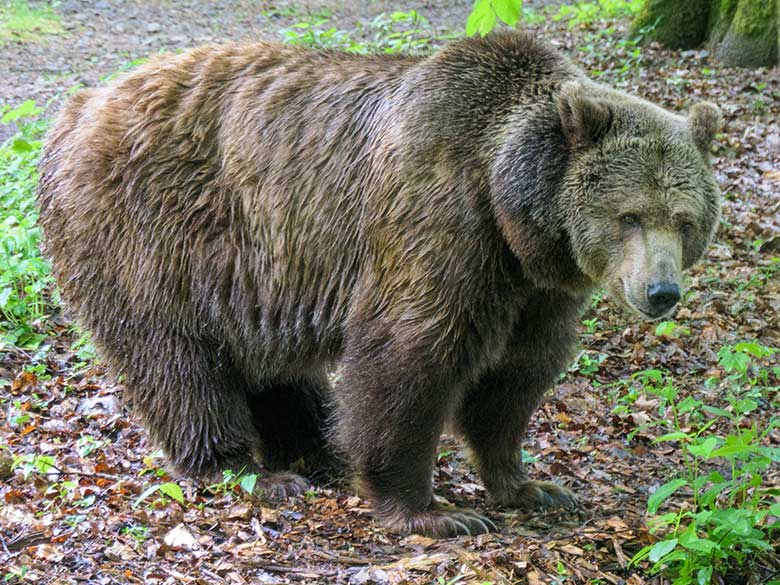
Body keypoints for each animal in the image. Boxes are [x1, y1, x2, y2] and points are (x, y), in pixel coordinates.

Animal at [35, 30, 720, 532]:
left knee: (267, 365)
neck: (513, 209)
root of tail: (75, 110)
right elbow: (412, 352)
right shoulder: (440, 217)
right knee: (179, 360)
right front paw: (431, 510)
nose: (661, 292)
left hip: (250, 276)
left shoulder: (535, 287)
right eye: (630, 215)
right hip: (149, 232)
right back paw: (248, 470)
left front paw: (529, 484)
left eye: (685, 220)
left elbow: (517, 372)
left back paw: (316, 448)